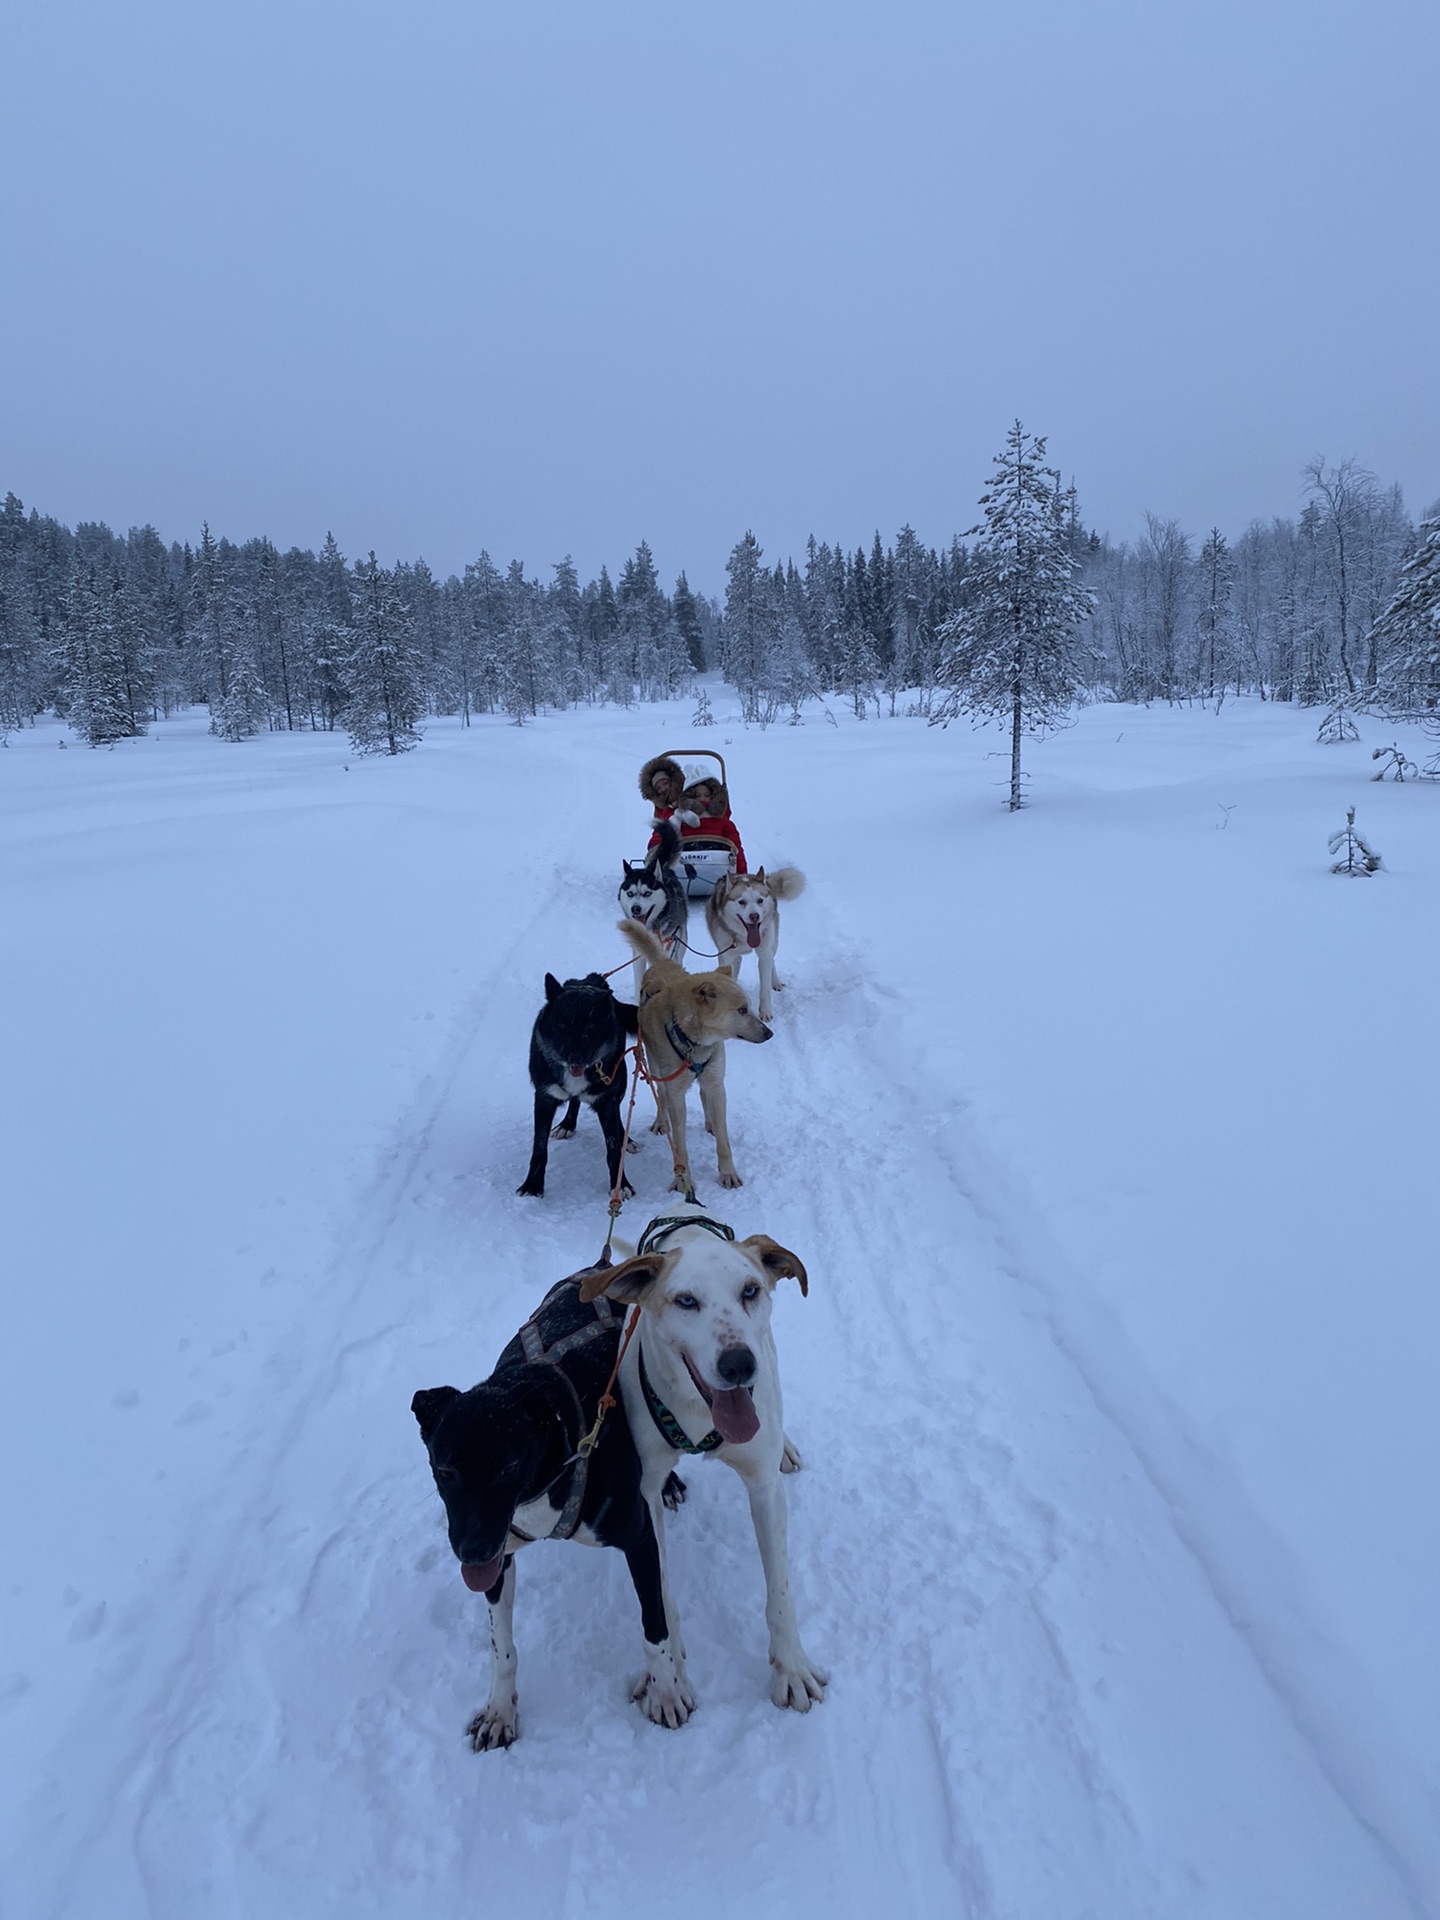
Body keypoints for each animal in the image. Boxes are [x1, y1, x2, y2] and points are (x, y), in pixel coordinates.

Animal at [514, 975, 637, 1198]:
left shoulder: (606, 1100)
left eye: (590, 1030)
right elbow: (539, 1148)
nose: (575, 1058)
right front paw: (533, 1184)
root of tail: (592, 978)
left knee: (617, 1113)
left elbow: (613, 1149)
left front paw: (620, 1185)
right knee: (575, 1101)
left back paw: (626, 1138)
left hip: (620, 1085)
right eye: (562, 1026)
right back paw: (567, 1124)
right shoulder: (544, 1099)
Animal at [618, 921, 771, 1190]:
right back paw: (661, 1121)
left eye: (750, 1008)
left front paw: (728, 1172)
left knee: (704, 1095)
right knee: (660, 1095)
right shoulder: (676, 1094)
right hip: (655, 1067)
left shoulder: (717, 1084)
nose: (769, 1033)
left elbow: (724, 1140)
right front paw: (683, 1180)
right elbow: (680, 1144)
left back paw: (710, 1122)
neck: (694, 1042)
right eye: (742, 1010)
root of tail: (662, 964)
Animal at [706, 867, 806, 1029]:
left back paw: (776, 982)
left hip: (773, 943)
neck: (745, 936)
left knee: (772, 960)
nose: (754, 916)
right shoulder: (726, 955)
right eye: (741, 902)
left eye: (760, 900)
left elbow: (764, 988)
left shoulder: (764, 953)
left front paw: (765, 1013)